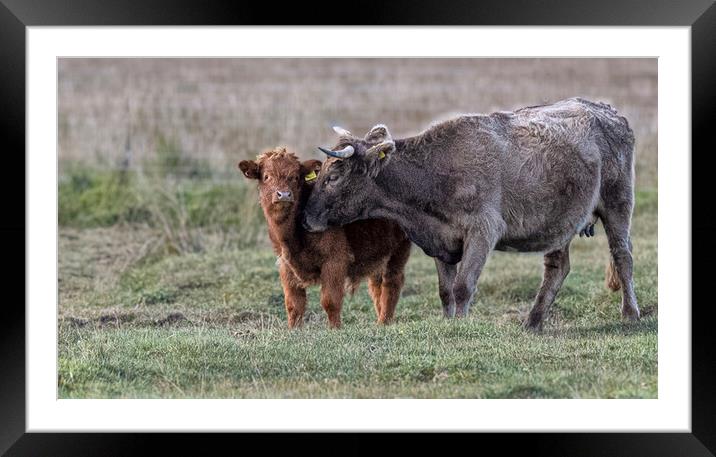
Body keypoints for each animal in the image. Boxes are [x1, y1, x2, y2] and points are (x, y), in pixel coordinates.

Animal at [239, 147, 412, 328]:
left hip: (399, 250)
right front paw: (293, 329)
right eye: (267, 176)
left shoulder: (334, 261)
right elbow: (293, 304)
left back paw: (385, 321)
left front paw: (335, 328)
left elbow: (330, 300)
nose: (284, 194)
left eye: (295, 177)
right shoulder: (285, 265)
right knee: (376, 286)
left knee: (391, 282)